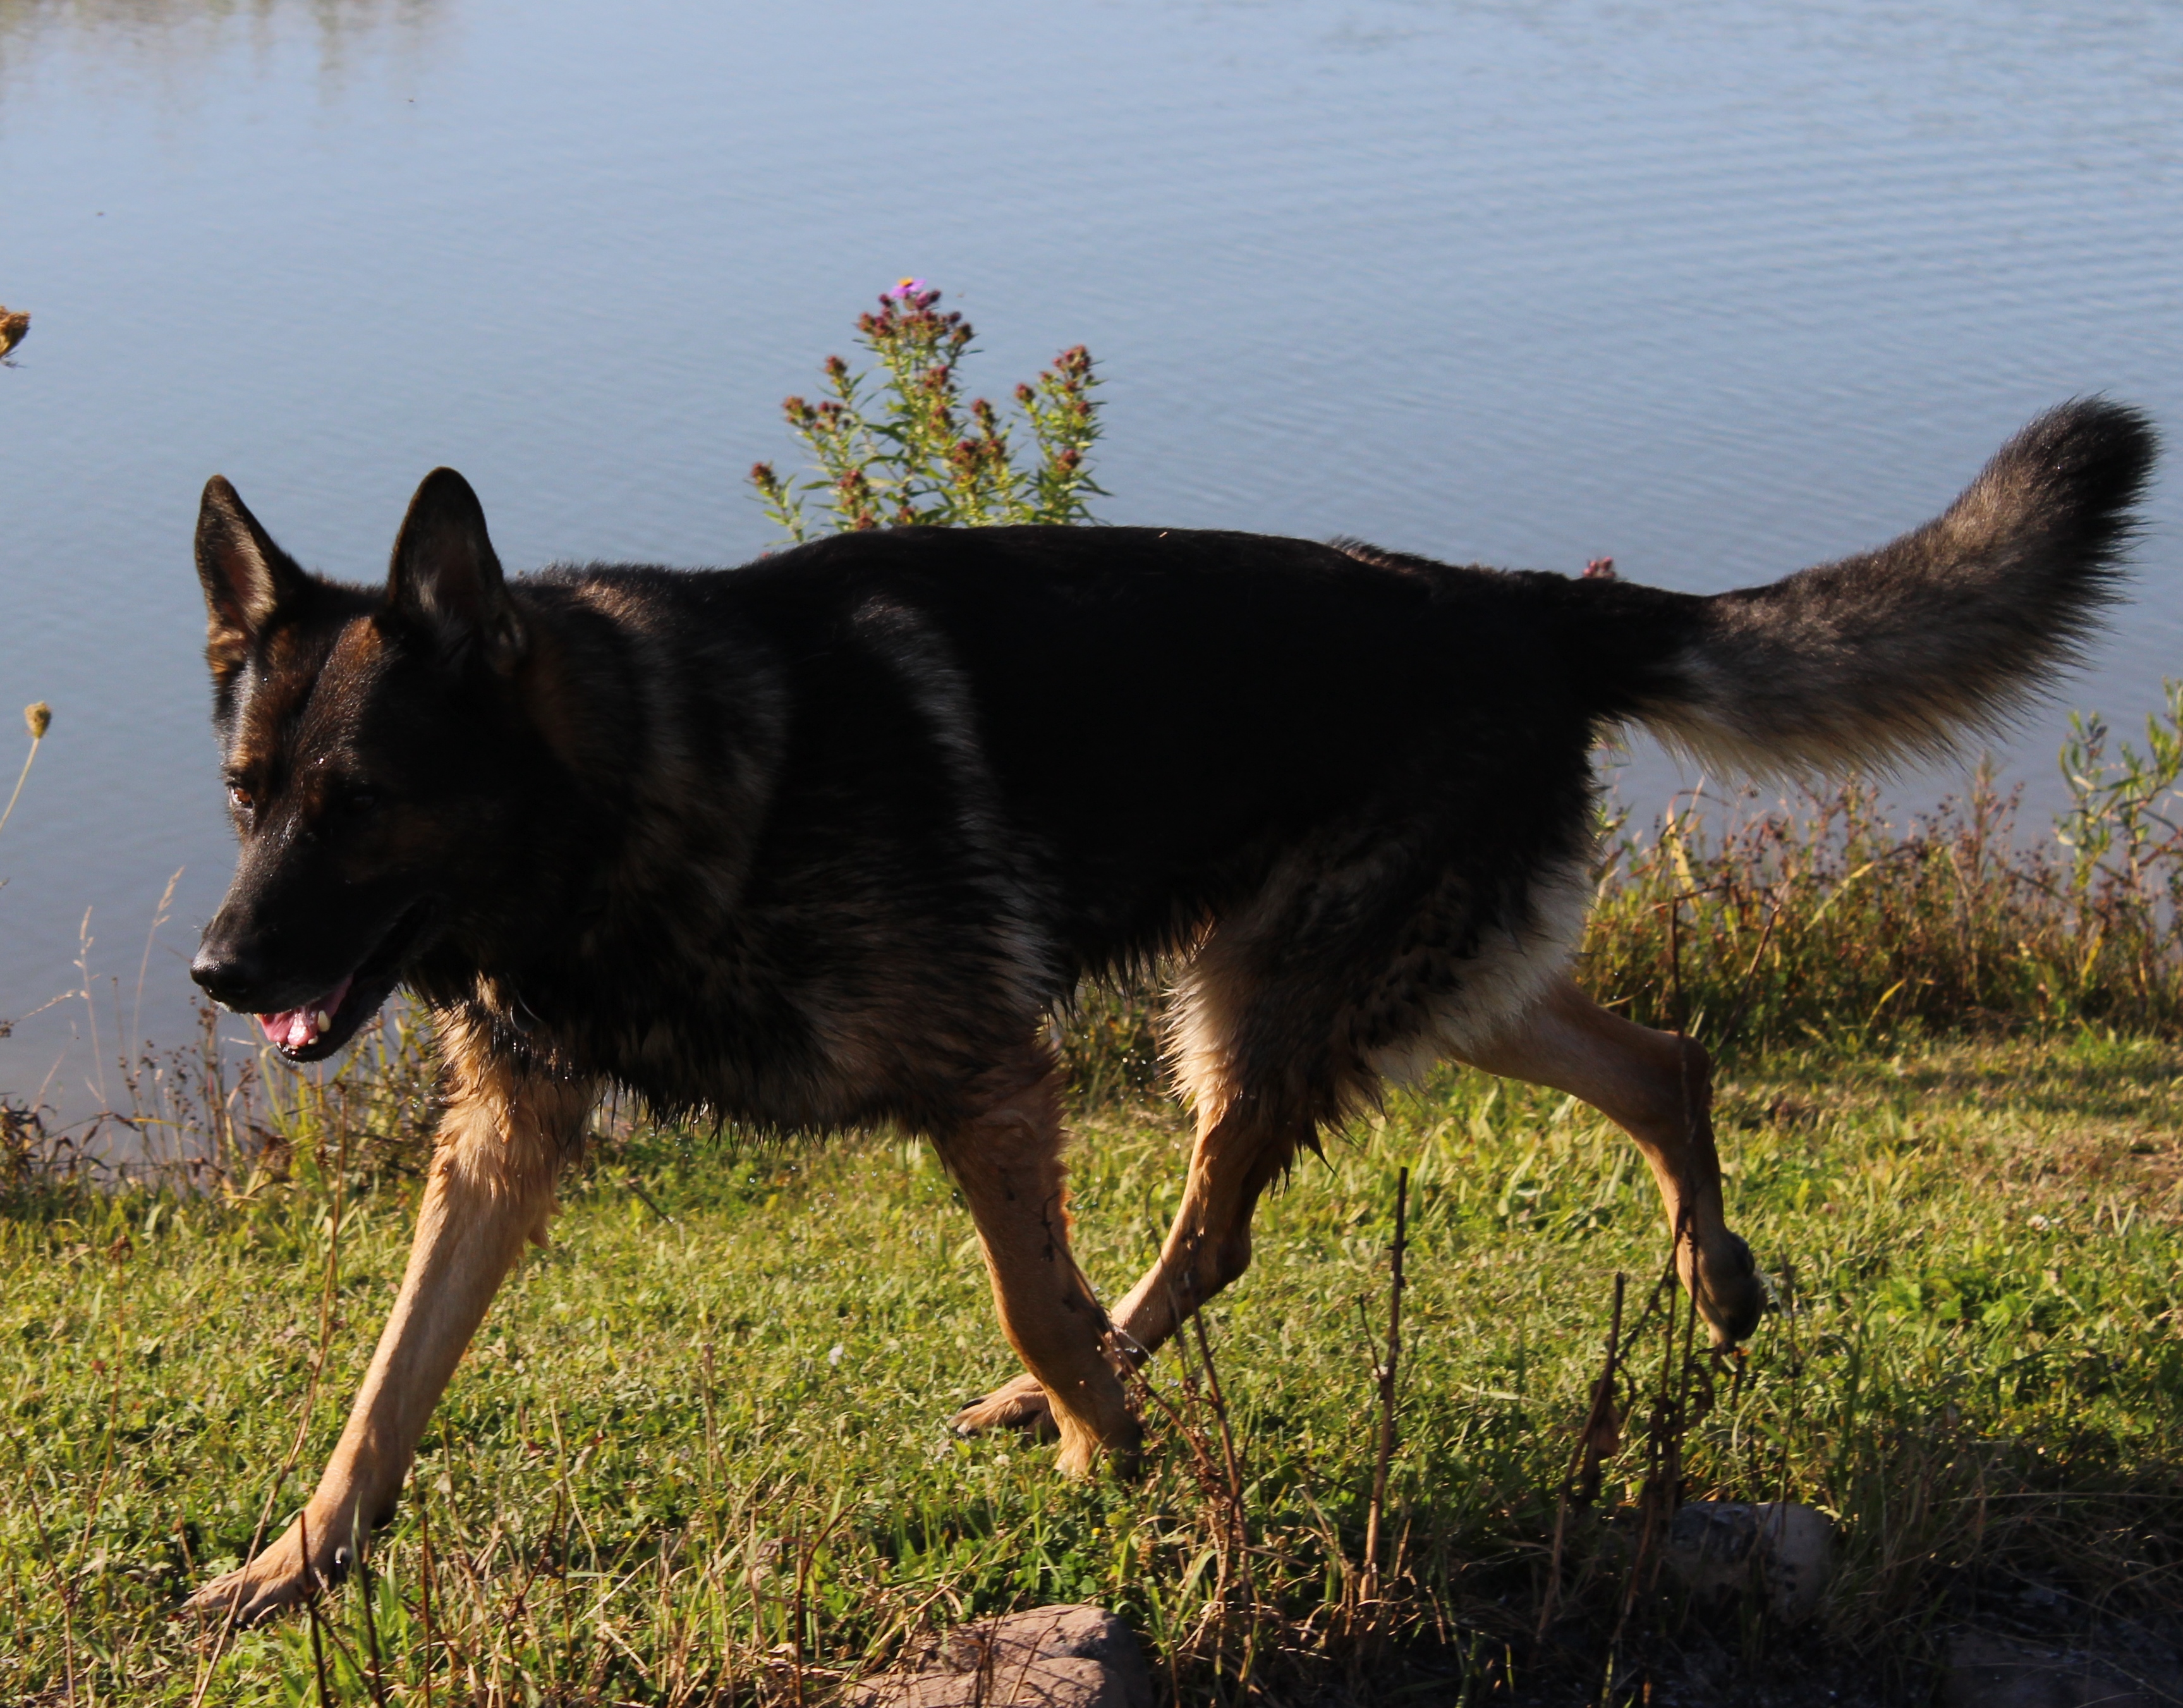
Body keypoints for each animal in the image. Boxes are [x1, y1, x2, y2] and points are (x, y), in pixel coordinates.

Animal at [182, 400, 2154, 1621]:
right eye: (247, 795)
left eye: (356, 803)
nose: (215, 972)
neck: (645, 787)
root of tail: (1521, 608)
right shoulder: (501, 1140)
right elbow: (389, 1376)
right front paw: (297, 1564)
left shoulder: (985, 1077)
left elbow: (1032, 1293)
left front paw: (1117, 1472)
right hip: (1381, 983)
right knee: (1659, 1057)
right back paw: (1716, 1276)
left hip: (1267, 1003)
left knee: (1214, 1229)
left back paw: (1106, 1404)